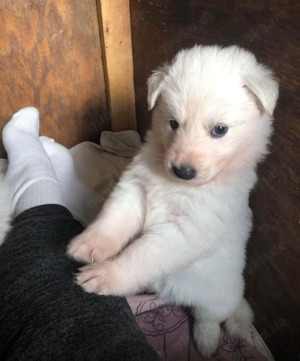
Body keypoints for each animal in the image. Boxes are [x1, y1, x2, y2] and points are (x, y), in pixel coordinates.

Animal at [68, 45, 278, 358]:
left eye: (220, 130)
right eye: (174, 123)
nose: (183, 171)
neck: (174, 185)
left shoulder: (187, 230)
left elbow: (139, 254)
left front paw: (105, 276)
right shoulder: (134, 188)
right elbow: (113, 220)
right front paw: (89, 245)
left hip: (217, 297)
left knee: (209, 318)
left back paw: (206, 342)